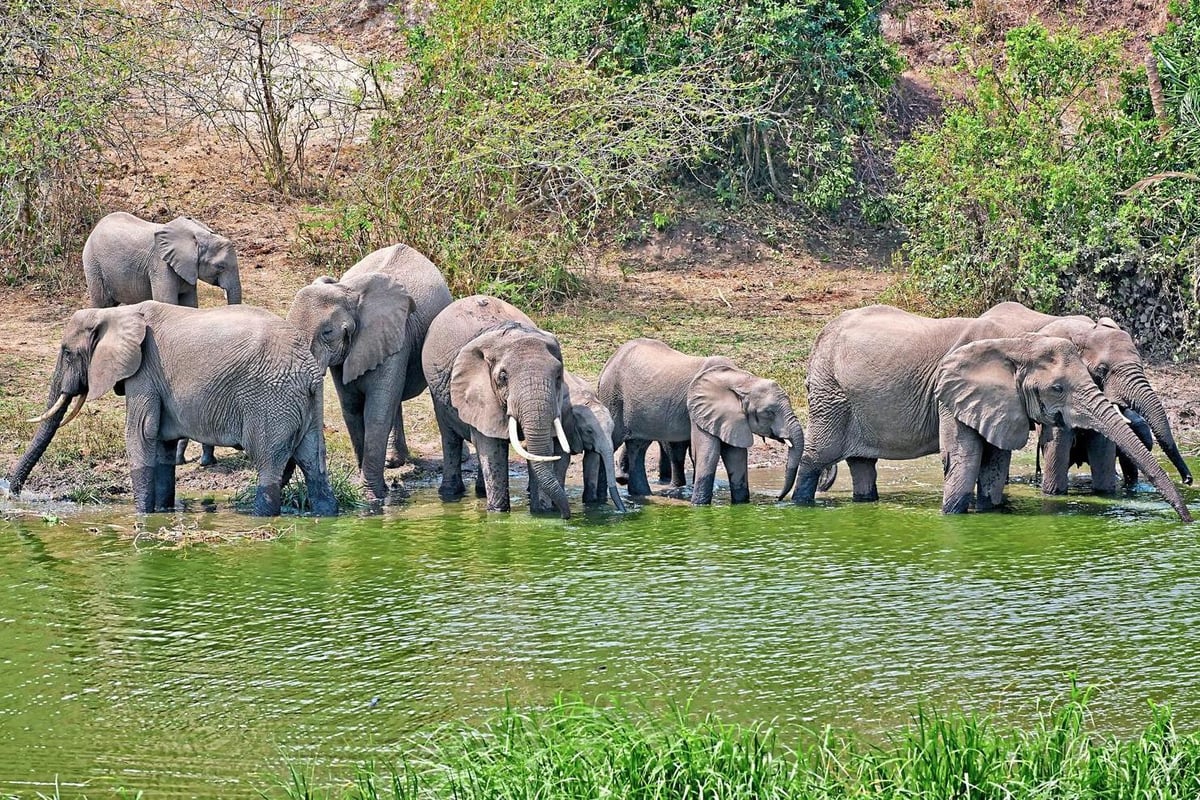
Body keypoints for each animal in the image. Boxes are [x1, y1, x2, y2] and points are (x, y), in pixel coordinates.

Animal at [5, 301, 336, 517]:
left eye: (67, 353)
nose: (11, 493)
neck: (115, 313)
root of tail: (309, 369)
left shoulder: (145, 372)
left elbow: (140, 434)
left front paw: (141, 517)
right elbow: (162, 446)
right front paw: (161, 511)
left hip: (271, 400)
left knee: (268, 461)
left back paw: (261, 516)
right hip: (304, 404)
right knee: (313, 462)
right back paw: (326, 515)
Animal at [84, 211, 244, 467]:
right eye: (219, 266)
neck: (199, 235)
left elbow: (189, 305)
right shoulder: (161, 266)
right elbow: (167, 301)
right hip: (93, 264)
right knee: (102, 303)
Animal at [287, 243, 452, 503]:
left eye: (328, 333)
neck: (348, 293)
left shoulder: (394, 336)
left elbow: (376, 411)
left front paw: (371, 497)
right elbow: (352, 408)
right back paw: (393, 462)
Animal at [421, 295, 574, 519]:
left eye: (558, 376)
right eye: (503, 377)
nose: (566, 516)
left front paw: (542, 514)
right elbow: (491, 448)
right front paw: (497, 515)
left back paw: (480, 491)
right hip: (437, 392)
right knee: (450, 437)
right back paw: (450, 494)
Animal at [598, 338, 805, 505]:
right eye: (769, 412)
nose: (778, 498)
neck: (742, 379)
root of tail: (610, 360)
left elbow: (736, 457)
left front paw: (740, 504)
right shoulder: (696, 410)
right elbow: (707, 453)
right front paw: (699, 506)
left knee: (638, 447)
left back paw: (640, 495)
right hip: (613, 397)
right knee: (612, 443)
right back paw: (600, 501)